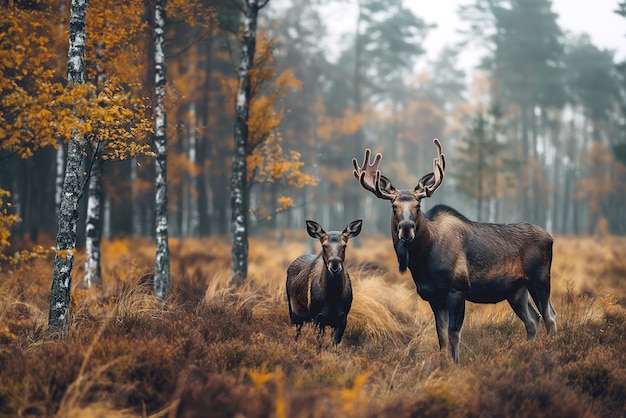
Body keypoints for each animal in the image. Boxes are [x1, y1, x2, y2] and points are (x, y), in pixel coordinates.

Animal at [352, 140, 556, 362]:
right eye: (393, 206)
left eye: (418, 205)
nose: (406, 228)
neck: (422, 262)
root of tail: (550, 237)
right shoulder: (434, 296)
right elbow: (441, 334)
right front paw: (443, 363)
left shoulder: (458, 289)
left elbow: (454, 333)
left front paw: (455, 364)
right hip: (516, 289)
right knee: (533, 319)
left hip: (539, 279)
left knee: (549, 316)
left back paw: (552, 351)